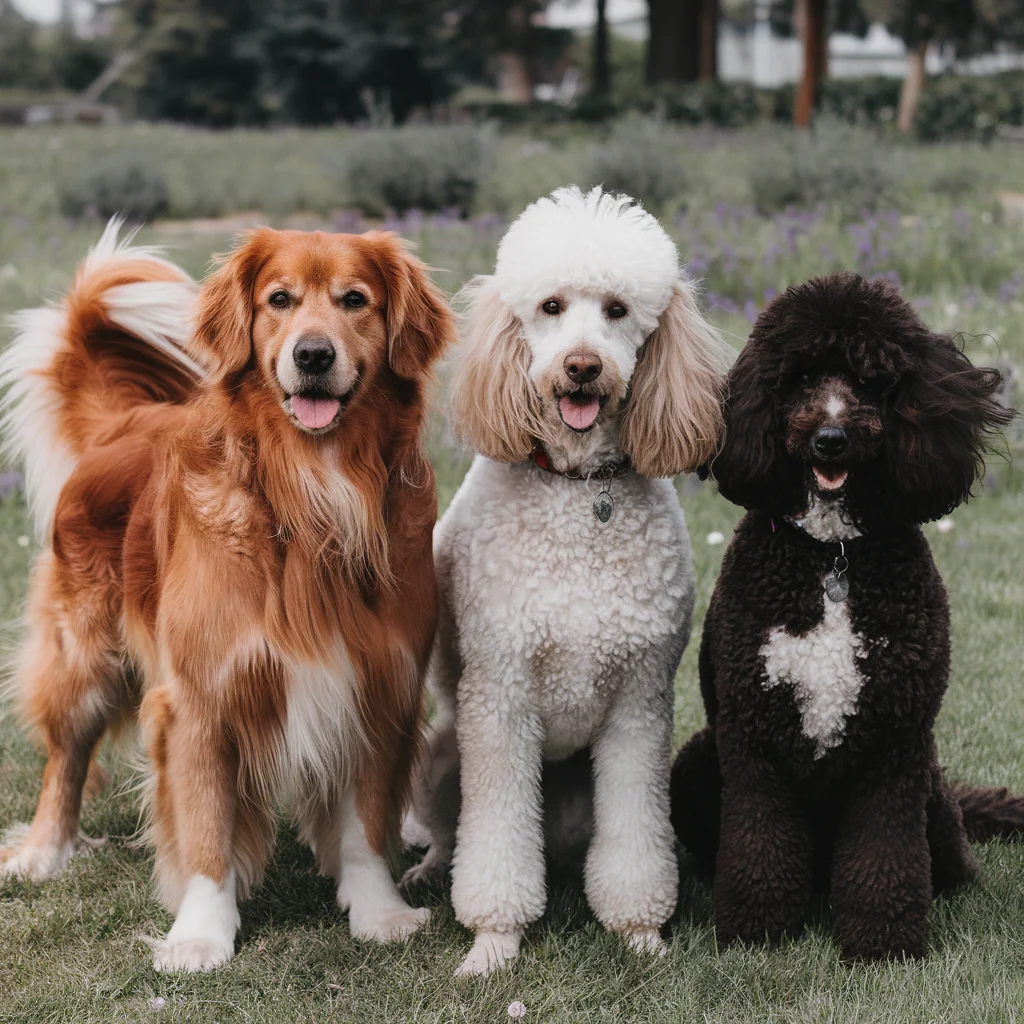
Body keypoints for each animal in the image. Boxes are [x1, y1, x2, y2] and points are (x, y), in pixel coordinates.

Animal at [0, 222, 456, 966]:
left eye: (355, 300)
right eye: (279, 300)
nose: (312, 354)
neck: (312, 496)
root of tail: (128, 419)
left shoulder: (377, 683)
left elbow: (363, 822)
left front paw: (379, 912)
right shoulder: (199, 697)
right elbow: (206, 827)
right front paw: (200, 934)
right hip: (85, 654)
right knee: (65, 758)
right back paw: (43, 852)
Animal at [671, 272, 1024, 958]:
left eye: (869, 380)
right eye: (801, 377)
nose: (829, 439)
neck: (832, 554)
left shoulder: (894, 749)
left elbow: (883, 852)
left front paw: (882, 944)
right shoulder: (753, 741)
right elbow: (760, 842)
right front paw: (757, 932)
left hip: (932, 797)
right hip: (698, 760)